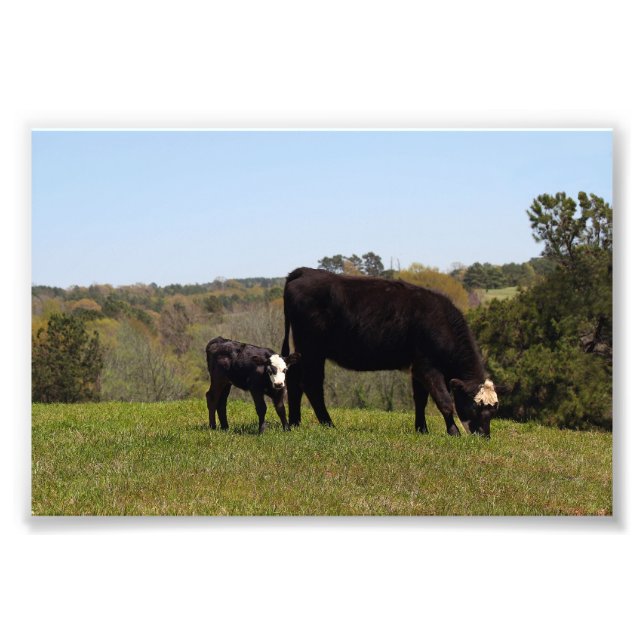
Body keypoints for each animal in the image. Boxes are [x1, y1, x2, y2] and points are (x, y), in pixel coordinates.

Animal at [281, 267, 501, 438]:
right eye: (475, 406)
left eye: (493, 409)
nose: (485, 436)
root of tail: (304, 271)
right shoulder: (428, 367)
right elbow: (444, 401)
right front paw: (453, 432)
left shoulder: (417, 367)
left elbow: (420, 400)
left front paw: (422, 429)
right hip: (312, 349)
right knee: (311, 384)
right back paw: (328, 424)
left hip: (304, 350)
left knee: (294, 379)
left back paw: (294, 423)